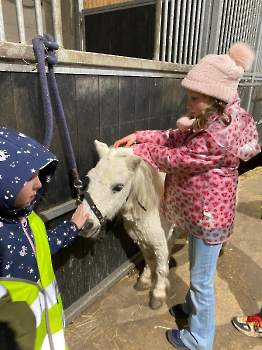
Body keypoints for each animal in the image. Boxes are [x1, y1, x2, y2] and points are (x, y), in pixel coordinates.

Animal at [81, 139, 183, 308]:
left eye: (118, 187)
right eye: (89, 178)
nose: (85, 226)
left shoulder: (161, 243)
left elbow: (161, 269)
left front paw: (158, 295)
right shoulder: (143, 239)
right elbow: (149, 260)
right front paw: (144, 282)